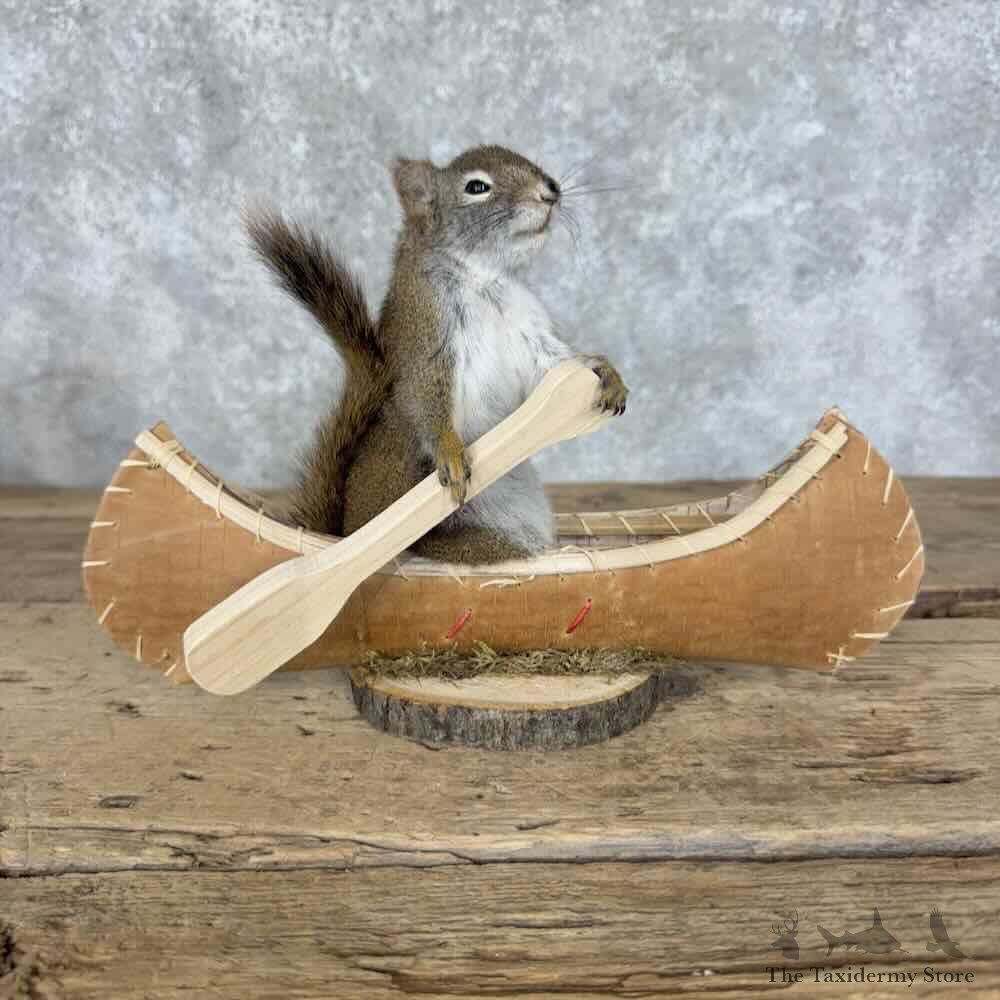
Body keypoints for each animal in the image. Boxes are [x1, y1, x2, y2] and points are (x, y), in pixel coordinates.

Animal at [245, 144, 628, 565]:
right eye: (476, 187)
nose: (551, 191)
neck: (483, 280)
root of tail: (346, 532)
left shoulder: (529, 334)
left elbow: (554, 367)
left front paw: (606, 372)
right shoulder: (426, 336)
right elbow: (425, 395)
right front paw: (450, 451)